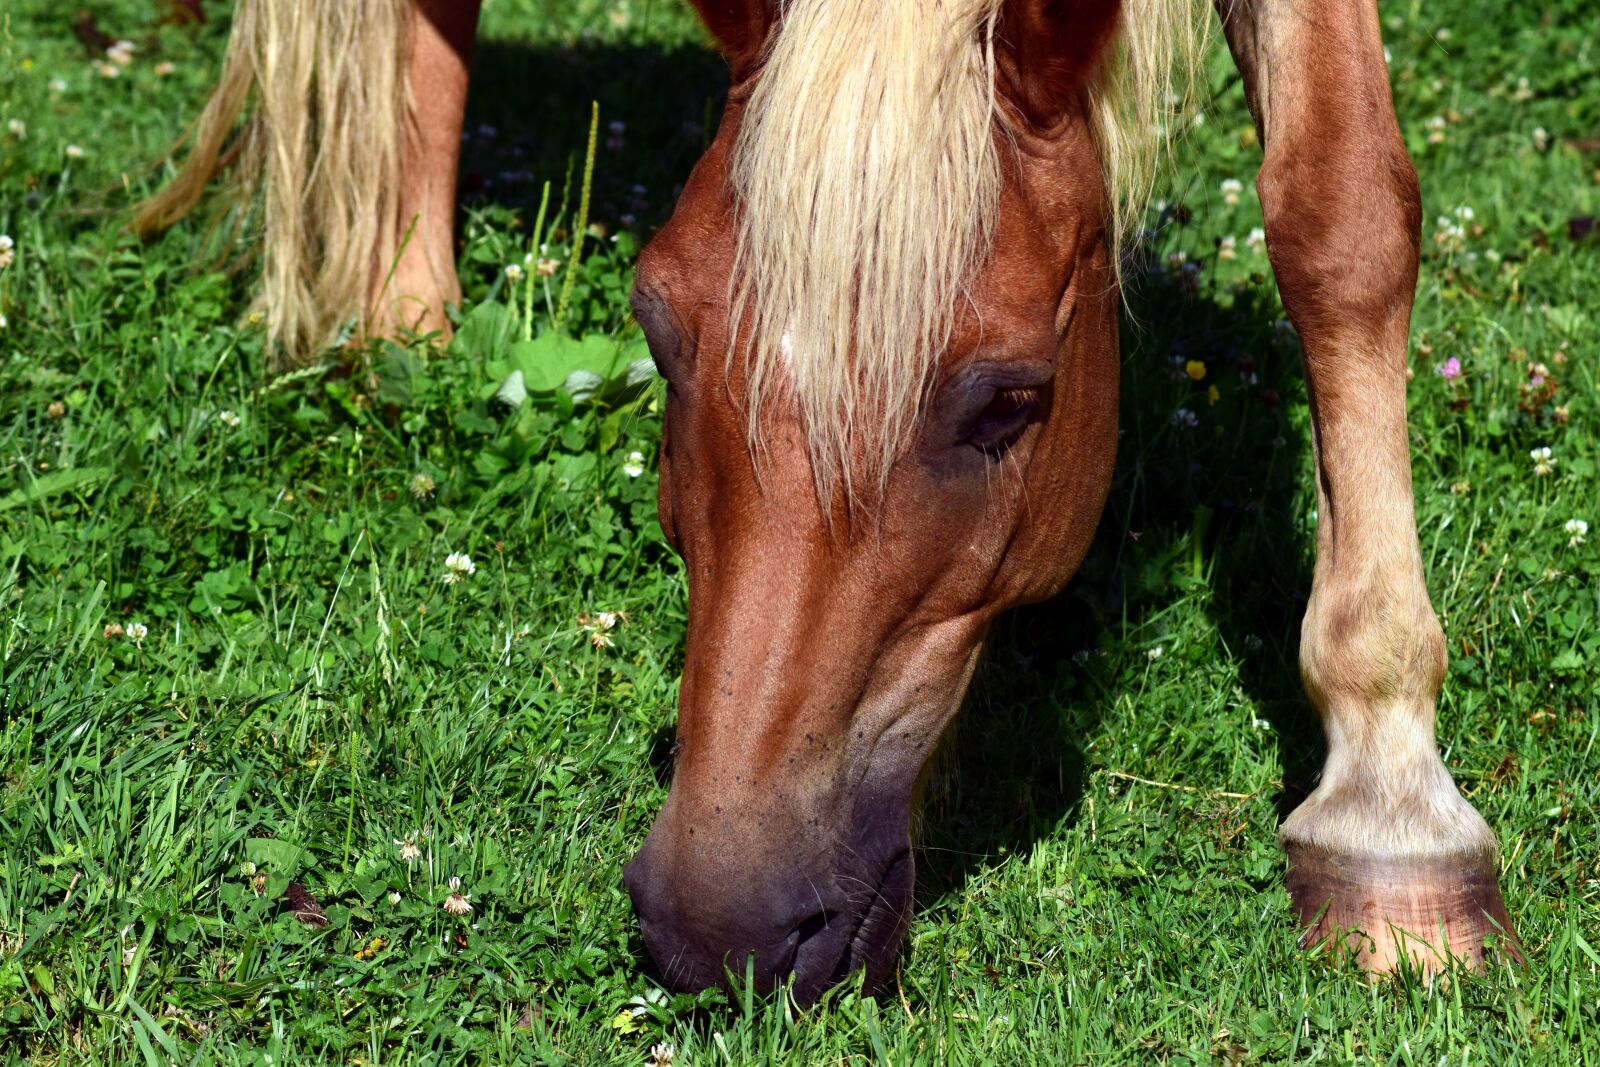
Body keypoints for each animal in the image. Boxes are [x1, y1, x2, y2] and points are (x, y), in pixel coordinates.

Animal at [136, 0, 1521, 1003]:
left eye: (1009, 400)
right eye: (656, 327)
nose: (721, 925)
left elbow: (1341, 214)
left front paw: (1392, 816)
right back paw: (408, 332)